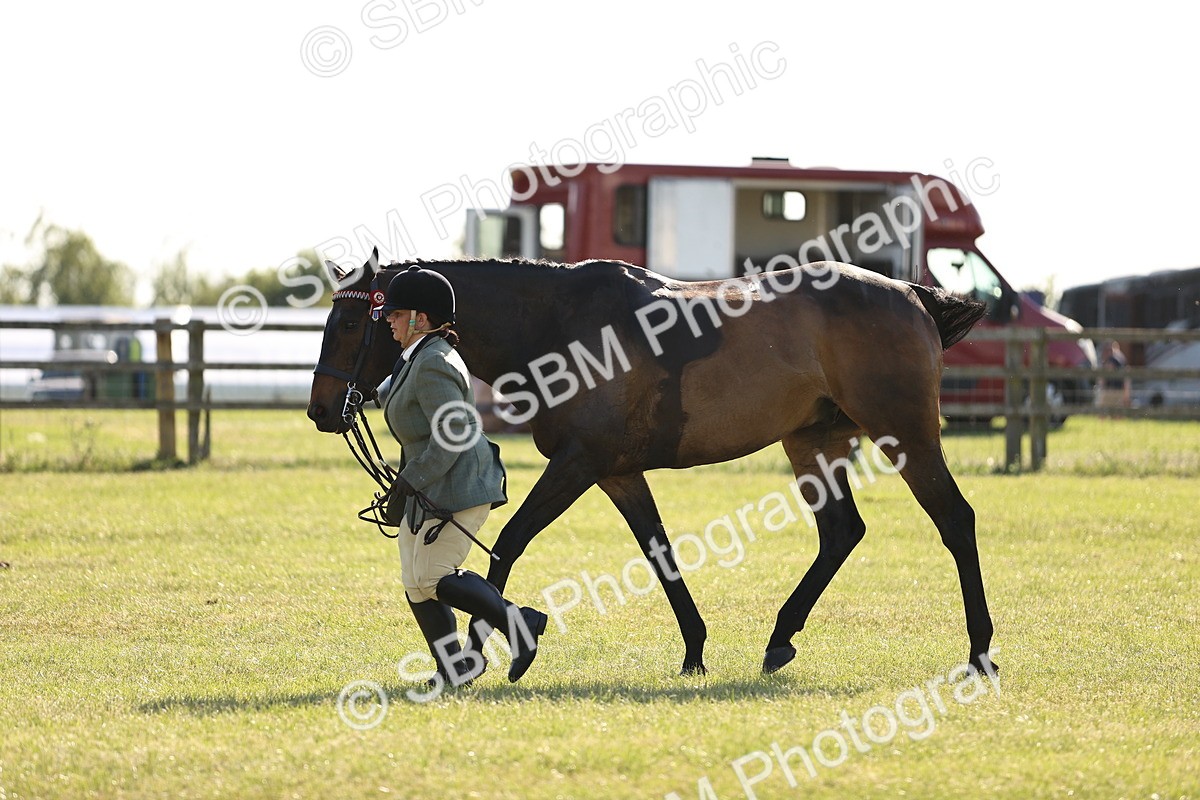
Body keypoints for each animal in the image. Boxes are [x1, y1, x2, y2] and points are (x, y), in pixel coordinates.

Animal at [308, 251, 996, 676]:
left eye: (351, 323)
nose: (320, 409)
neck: (558, 325)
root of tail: (910, 294)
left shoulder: (578, 464)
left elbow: (506, 545)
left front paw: (482, 653)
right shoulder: (616, 472)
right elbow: (658, 551)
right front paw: (694, 650)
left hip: (904, 434)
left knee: (955, 521)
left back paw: (980, 651)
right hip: (812, 443)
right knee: (841, 532)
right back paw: (779, 640)